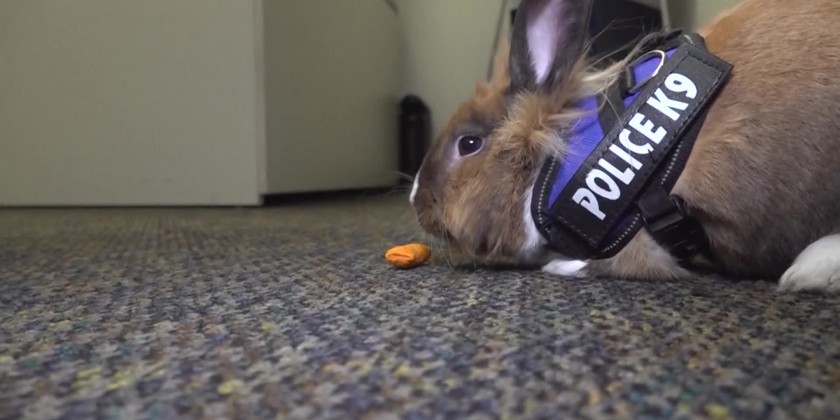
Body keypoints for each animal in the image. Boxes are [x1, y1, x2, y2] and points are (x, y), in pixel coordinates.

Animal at [409, 0, 840, 292]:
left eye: (468, 144)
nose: (415, 200)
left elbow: (608, 264)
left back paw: (808, 271)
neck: (552, 164)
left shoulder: (634, 242)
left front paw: (557, 268)